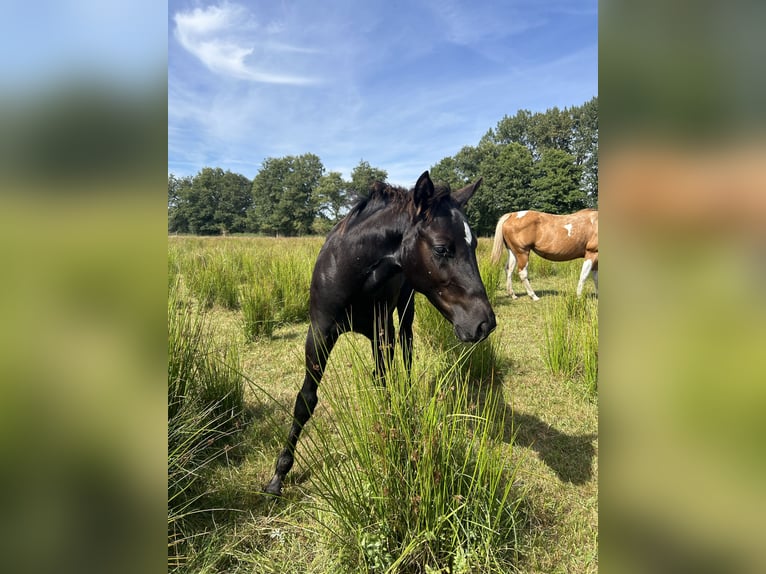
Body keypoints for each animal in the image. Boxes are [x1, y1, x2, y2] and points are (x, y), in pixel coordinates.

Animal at [265, 171, 496, 496]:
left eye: (474, 244)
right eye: (441, 248)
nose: (484, 323)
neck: (351, 270)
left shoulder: (382, 333)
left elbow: (383, 384)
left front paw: (393, 440)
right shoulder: (320, 332)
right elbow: (305, 400)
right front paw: (279, 474)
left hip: (407, 307)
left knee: (407, 349)